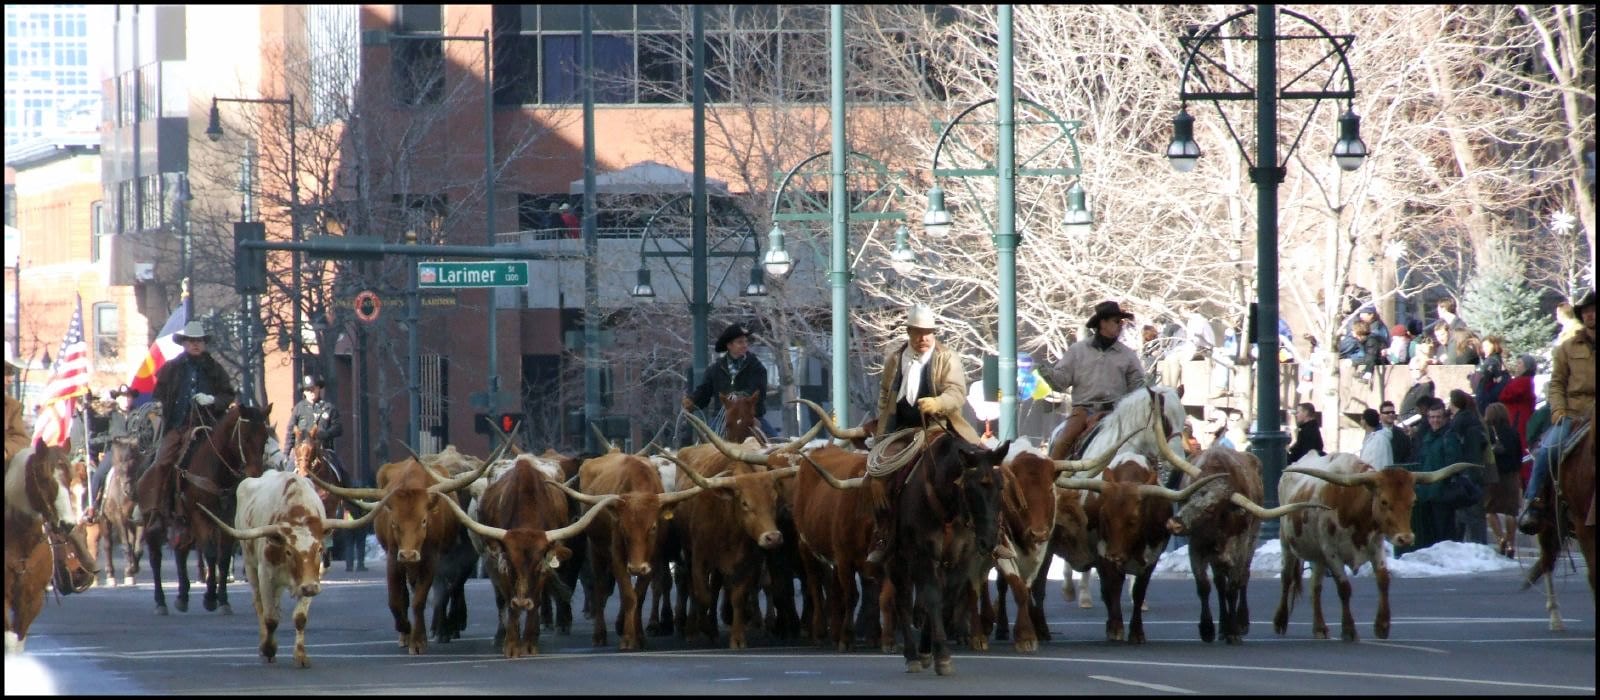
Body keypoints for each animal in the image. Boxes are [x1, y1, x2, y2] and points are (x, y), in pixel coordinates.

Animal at [142, 402, 273, 613]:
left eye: (265, 437)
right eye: (245, 437)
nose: (255, 474)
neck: (216, 469)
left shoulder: (228, 519)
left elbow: (224, 557)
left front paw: (223, 600)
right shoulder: (200, 515)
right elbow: (211, 553)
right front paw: (210, 597)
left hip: (183, 522)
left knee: (181, 551)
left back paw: (182, 596)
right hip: (157, 519)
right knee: (155, 555)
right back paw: (161, 601)